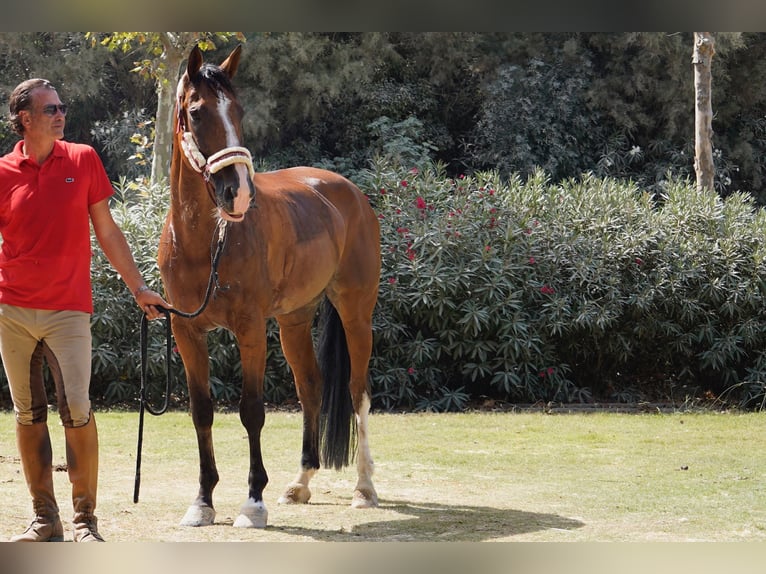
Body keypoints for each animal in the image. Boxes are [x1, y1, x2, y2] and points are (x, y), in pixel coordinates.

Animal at [156, 44, 381, 528]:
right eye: (197, 112)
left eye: (239, 110)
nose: (238, 193)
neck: (207, 241)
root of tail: (349, 193)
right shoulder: (187, 333)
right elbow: (202, 411)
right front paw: (202, 501)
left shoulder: (251, 331)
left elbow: (251, 411)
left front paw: (252, 502)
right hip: (294, 321)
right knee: (311, 386)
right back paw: (301, 483)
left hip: (356, 313)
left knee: (358, 391)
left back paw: (364, 488)